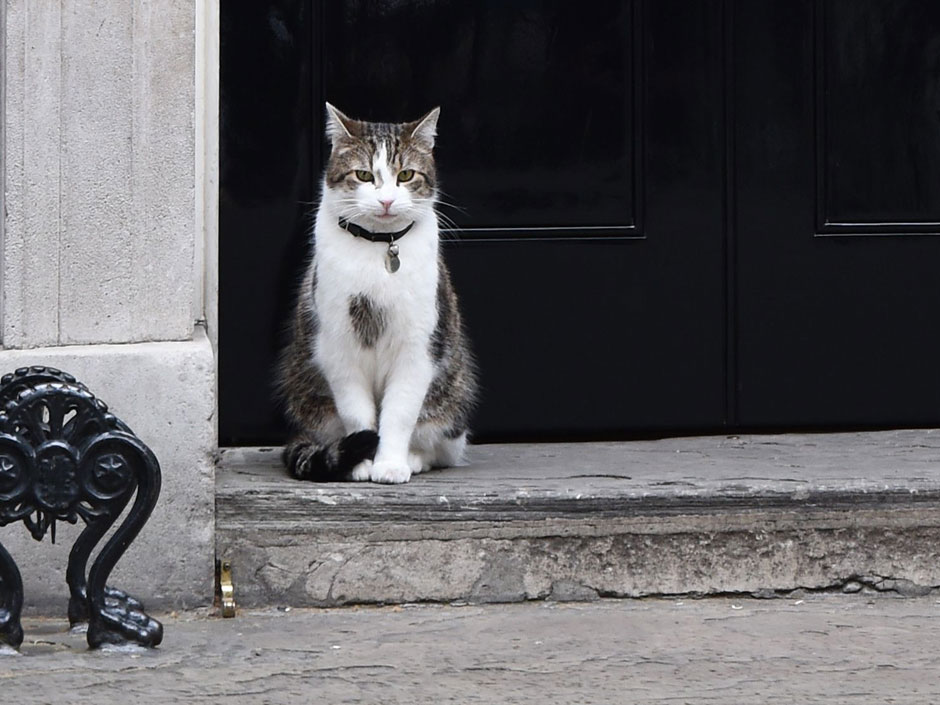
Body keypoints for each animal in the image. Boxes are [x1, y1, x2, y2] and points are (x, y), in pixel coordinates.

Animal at [276, 103, 474, 484]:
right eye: (364, 175)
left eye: (407, 175)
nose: (386, 200)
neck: (380, 247)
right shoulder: (338, 345)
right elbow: (357, 412)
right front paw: (361, 462)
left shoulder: (417, 348)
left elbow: (399, 413)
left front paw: (391, 464)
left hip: (451, 403)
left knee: (443, 448)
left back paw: (414, 458)